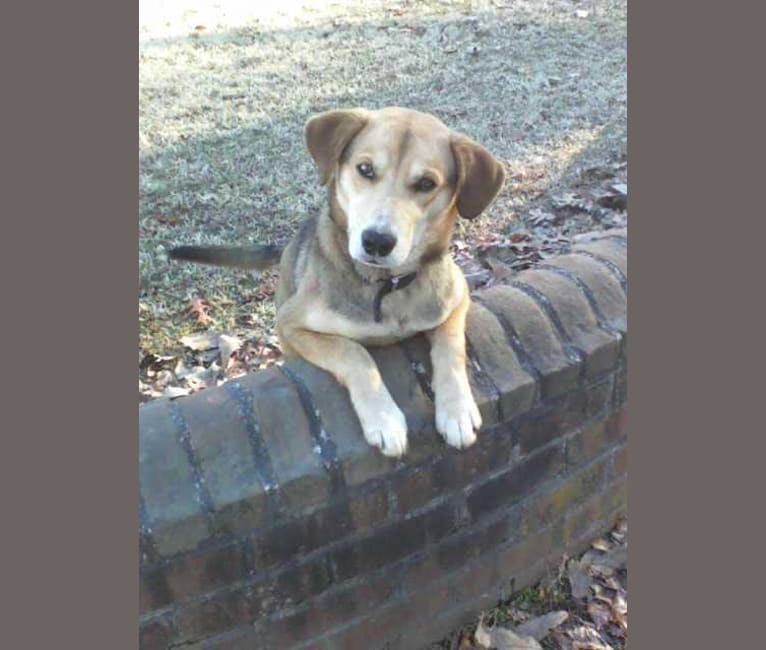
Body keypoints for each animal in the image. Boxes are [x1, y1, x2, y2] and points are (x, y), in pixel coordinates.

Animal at [175, 107, 510, 456]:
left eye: (426, 183)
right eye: (365, 169)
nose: (377, 241)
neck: (385, 286)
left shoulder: (457, 298)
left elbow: (451, 348)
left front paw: (457, 410)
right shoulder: (292, 325)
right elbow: (354, 353)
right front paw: (383, 419)